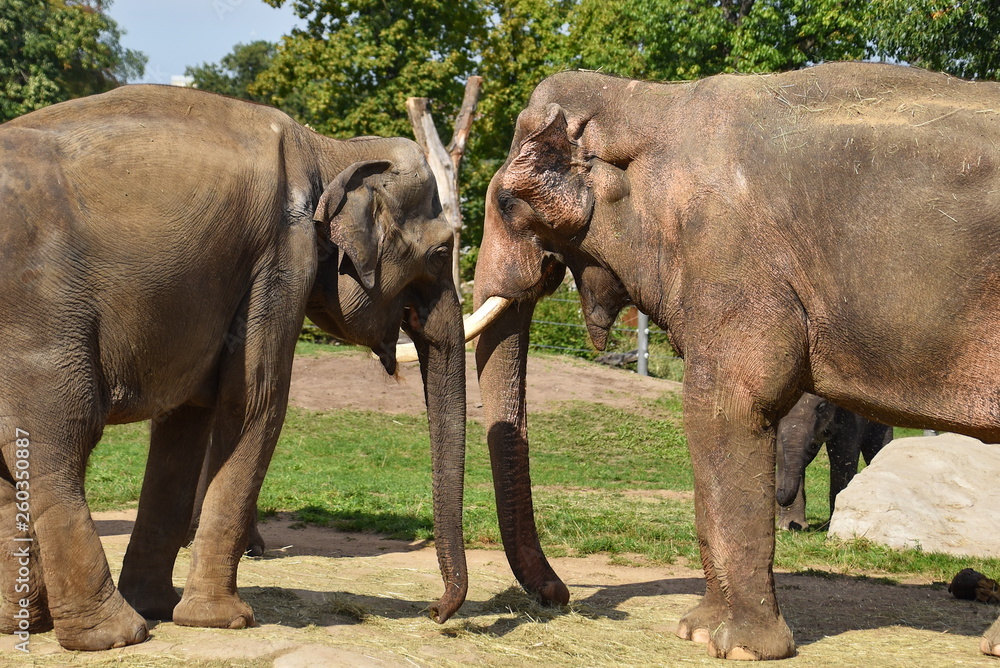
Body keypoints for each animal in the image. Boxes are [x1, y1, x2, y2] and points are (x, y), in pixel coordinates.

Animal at [0, 85, 470, 652]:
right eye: (441, 251)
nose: (436, 612)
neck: (330, 148)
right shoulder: (281, 254)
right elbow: (255, 401)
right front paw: (225, 620)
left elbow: (188, 415)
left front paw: (162, 605)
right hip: (40, 313)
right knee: (59, 440)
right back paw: (114, 635)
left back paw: (26, 623)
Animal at [772, 394, 892, 528]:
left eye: (821, 407)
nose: (779, 490)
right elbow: (781, 453)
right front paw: (790, 526)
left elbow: (843, 452)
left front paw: (834, 523)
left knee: (876, 448)